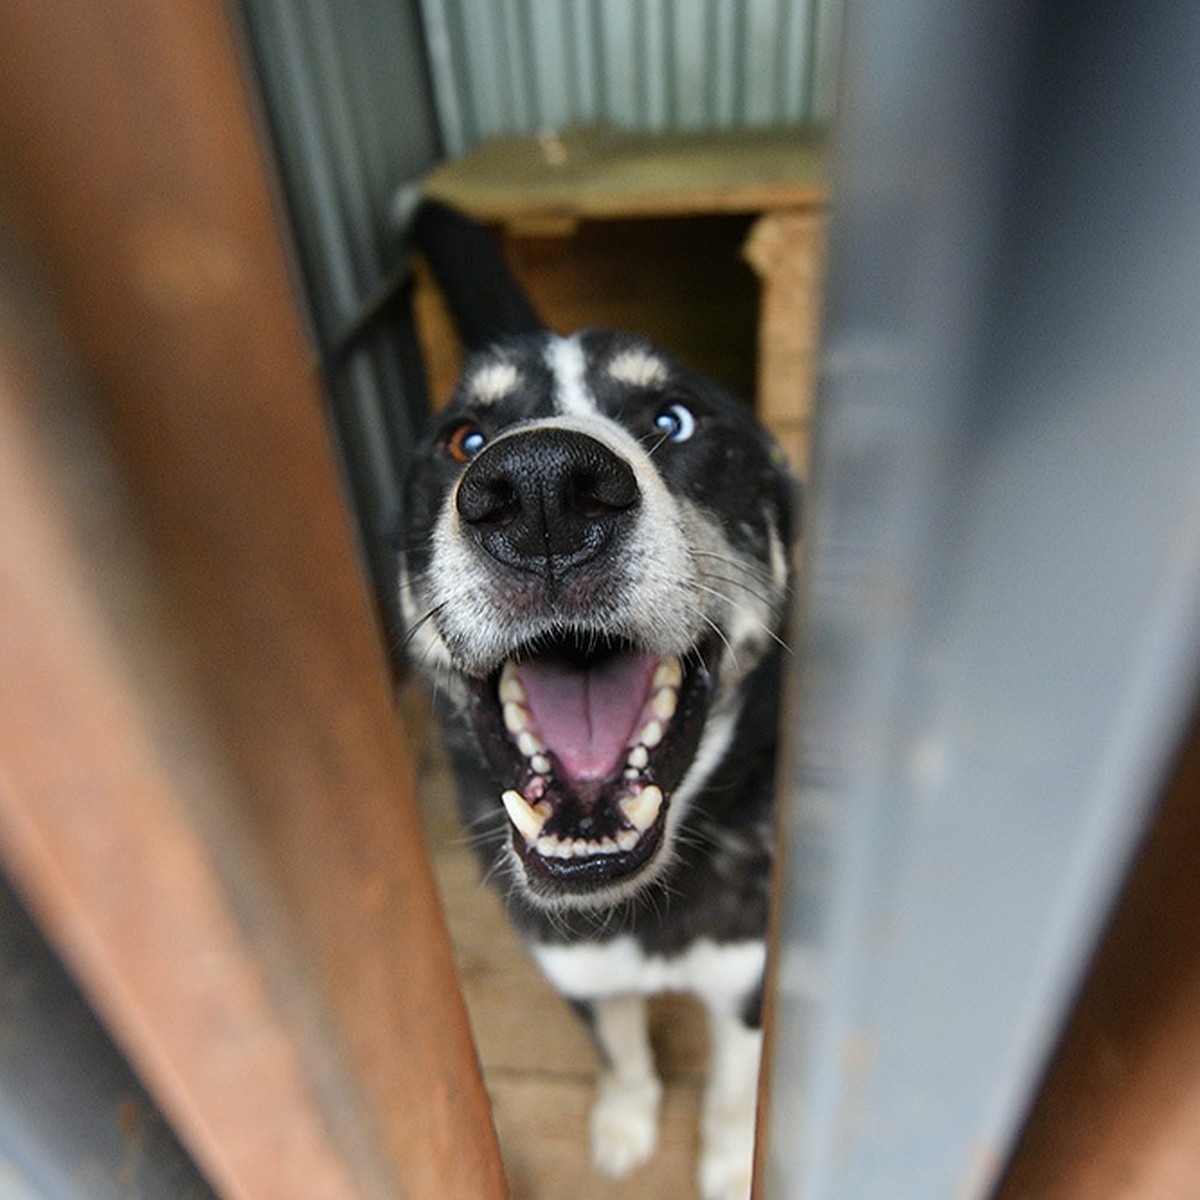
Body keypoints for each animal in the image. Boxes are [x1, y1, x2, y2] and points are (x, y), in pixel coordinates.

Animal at [403, 206, 796, 1200]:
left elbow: (734, 1091)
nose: (542, 490)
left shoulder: (751, 974)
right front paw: (625, 1126)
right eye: (463, 440)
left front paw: (728, 1166)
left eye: (674, 420)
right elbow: (621, 1054)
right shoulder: (573, 962)